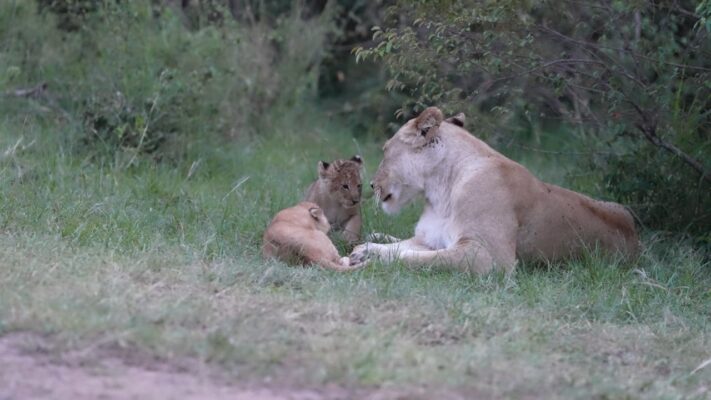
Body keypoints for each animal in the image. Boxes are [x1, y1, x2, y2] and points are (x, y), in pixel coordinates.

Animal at [350, 107, 640, 273]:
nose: (372, 185)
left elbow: (421, 259)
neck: (441, 190)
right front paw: (365, 248)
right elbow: (402, 247)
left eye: (385, 151)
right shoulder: (430, 239)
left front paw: (369, 257)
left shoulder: (488, 256)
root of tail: (635, 237)